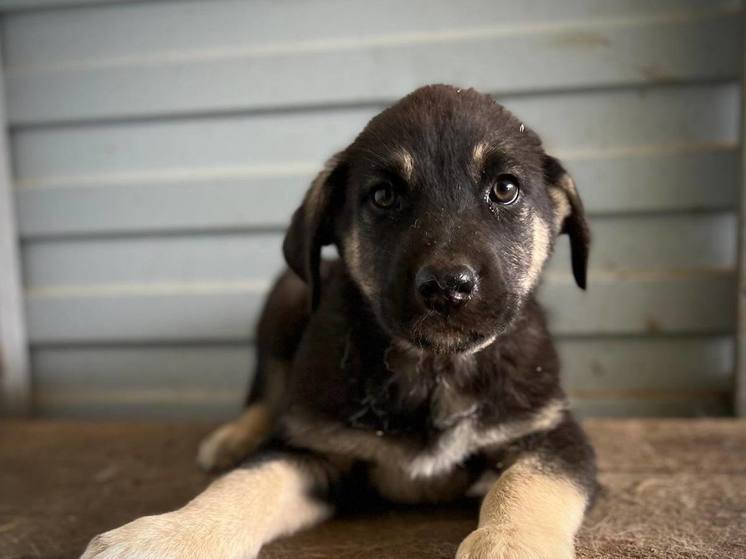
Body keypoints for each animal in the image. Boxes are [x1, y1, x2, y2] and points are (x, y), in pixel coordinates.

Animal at [83, 85, 592, 559]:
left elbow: (526, 486)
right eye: (384, 196)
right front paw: (170, 533)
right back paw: (235, 437)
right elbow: (245, 483)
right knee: (268, 391)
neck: (432, 369)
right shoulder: (311, 448)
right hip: (286, 299)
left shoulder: (553, 435)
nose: (448, 287)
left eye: (505, 189)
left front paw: (510, 543)